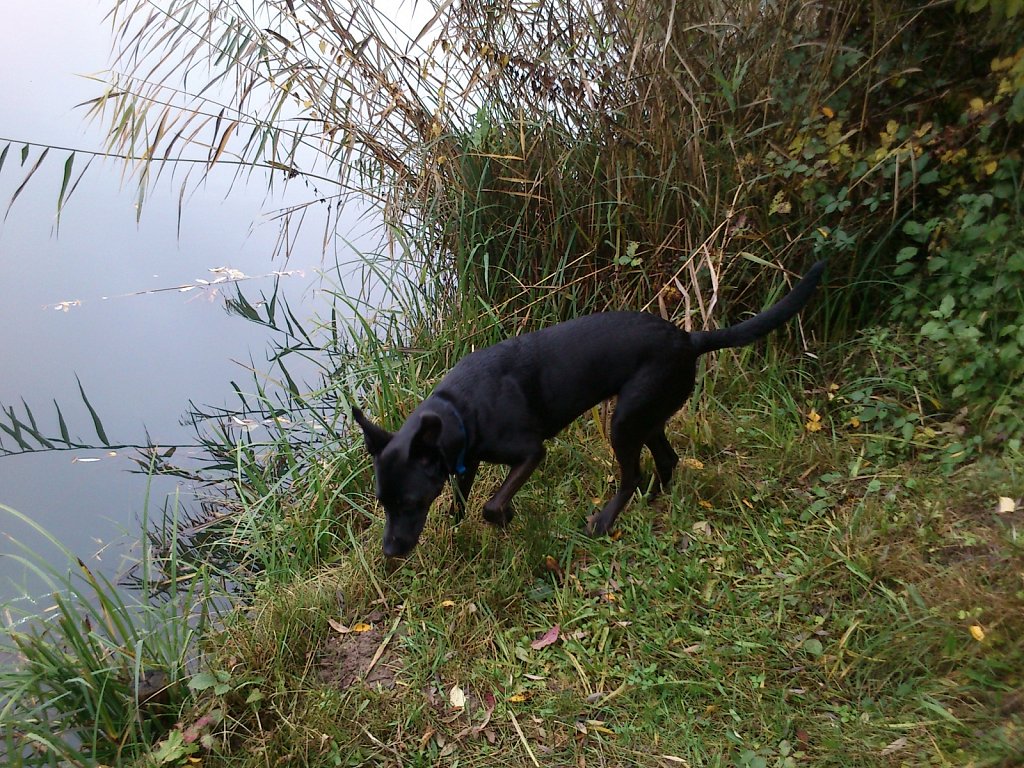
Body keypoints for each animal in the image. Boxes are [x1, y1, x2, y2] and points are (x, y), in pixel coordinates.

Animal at [352, 262, 823, 557]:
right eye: (382, 502)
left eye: (410, 501)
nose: (390, 552)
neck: (458, 408)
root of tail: (689, 339)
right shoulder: (465, 459)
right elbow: (461, 500)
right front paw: (462, 518)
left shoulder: (531, 452)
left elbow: (490, 504)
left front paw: (504, 516)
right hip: (645, 414)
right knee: (666, 460)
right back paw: (654, 500)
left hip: (624, 421)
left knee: (632, 476)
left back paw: (606, 520)